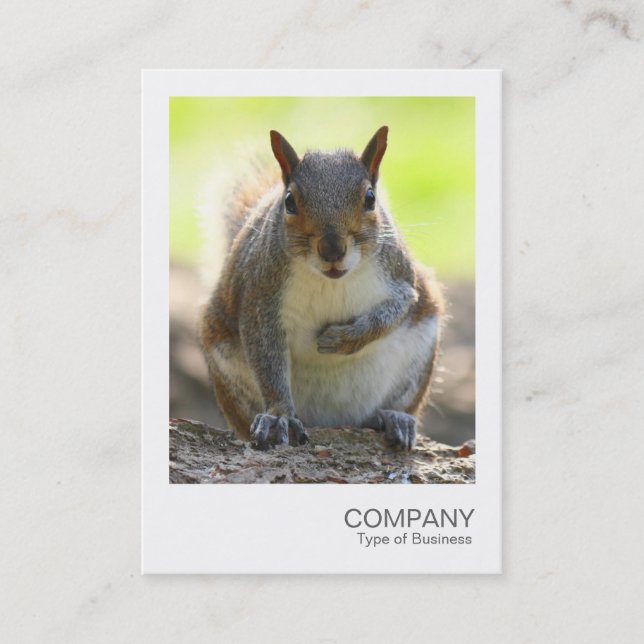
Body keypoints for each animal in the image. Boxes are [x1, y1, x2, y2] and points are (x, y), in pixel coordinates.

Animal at [198, 126, 444, 450]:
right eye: (289, 201)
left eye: (370, 198)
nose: (332, 250)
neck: (332, 280)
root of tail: (331, 420)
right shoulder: (260, 297)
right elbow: (267, 359)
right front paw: (279, 415)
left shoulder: (401, 277)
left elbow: (397, 309)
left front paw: (343, 339)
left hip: (419, 354)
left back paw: (392, 417)